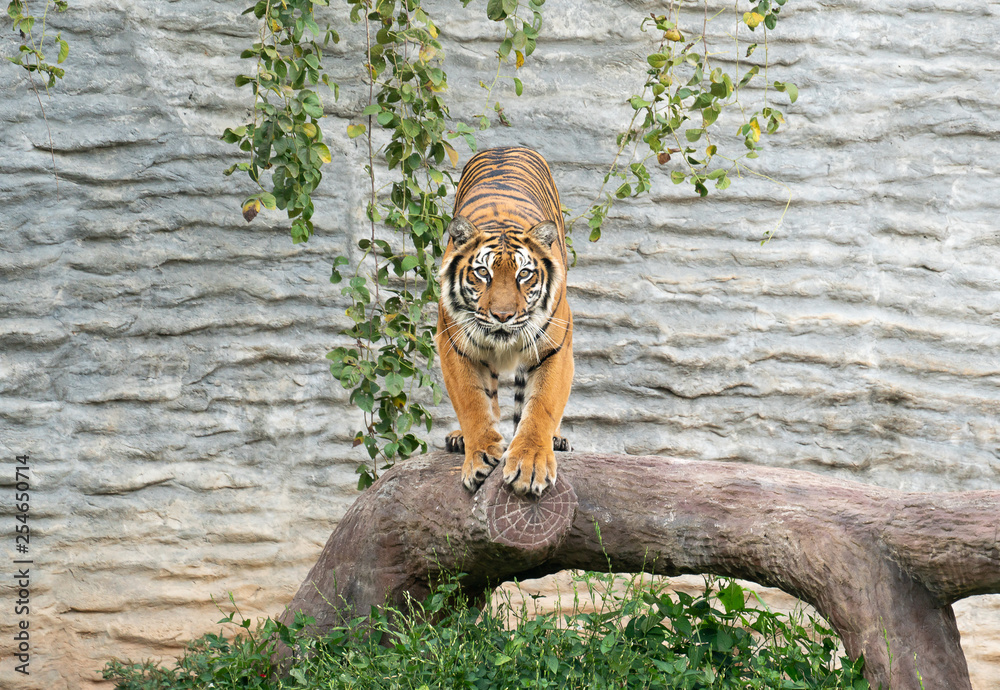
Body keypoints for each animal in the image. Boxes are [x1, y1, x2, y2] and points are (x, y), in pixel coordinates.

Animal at [434, 148, 576, 498]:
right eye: (482, 273)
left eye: (524, 274)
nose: (502, 316)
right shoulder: (454, 345)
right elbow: (472, 402)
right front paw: (480, 453)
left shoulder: (554, 348)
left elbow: (542, 406)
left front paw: (531, 463)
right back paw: (461, 438)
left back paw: (556, 439)